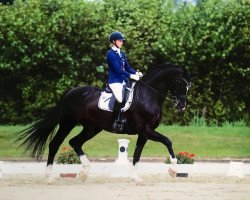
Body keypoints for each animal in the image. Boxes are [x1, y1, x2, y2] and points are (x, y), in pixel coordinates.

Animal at [17, 63, 190, 182]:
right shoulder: (145, 129)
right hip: (68, 123)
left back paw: (84, 173)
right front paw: (173, 169)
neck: (149, 95)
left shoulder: (144, 132)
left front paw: (135, 178)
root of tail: (71, 92)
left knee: (74, 142)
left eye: (189, 86)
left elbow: (137, 155)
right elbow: (167, 141)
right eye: (181, 84)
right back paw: (48, 177)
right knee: (55, 144)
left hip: (91, 128)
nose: (182, 106)